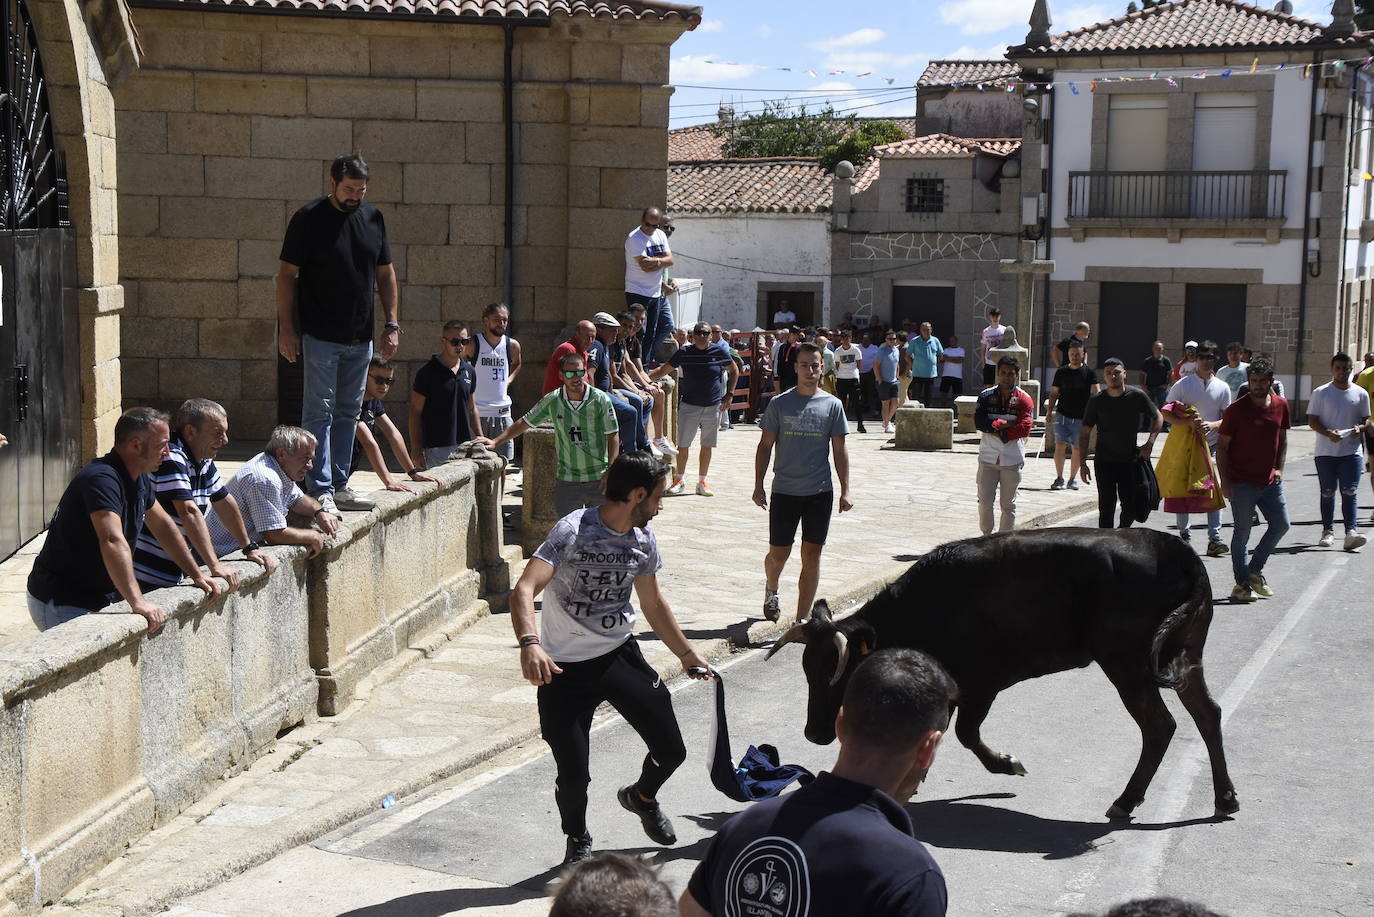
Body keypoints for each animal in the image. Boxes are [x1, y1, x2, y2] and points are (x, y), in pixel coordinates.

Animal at [769, 527, 1242, 819]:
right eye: (807, 670)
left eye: (837, 673)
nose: (813, 732)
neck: (929, 605)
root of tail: (1176, 551)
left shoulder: (981, 684)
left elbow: (965, 733)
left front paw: (1008, 765)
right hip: (1185, 655)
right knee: (1208, 713)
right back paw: (1225, 798)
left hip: (1128, 665)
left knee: (1160, 726)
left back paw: (1125, 802)